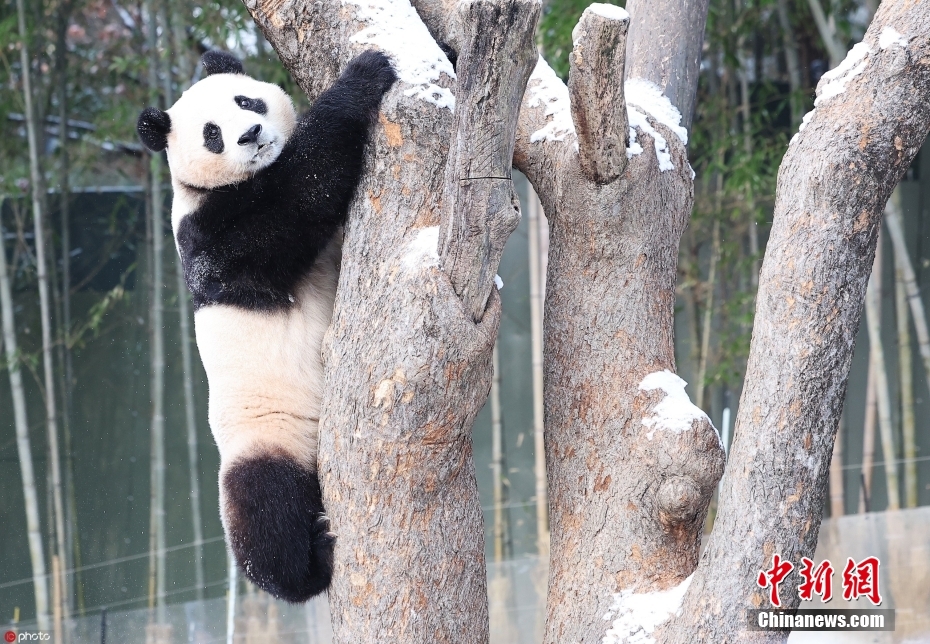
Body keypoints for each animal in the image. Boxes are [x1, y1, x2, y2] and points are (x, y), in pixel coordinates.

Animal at [137, 51, 396, 604]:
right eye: (212, 134)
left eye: (247, 101)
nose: (252, 134)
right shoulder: (207, 237)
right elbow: (292, 208)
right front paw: (363, 76)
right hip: (267, 437)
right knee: (266, 510)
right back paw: (309, 565)